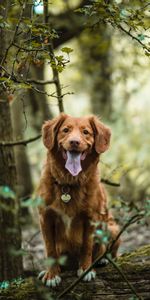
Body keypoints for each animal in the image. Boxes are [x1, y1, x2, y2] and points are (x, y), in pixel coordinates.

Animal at [37, 113, 120, 288]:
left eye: (86, 132)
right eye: (65, 130)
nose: (74, 142)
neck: (69, 184)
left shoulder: (91, 218)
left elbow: (87, 247)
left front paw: (86, 269)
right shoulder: (45, 218)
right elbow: (50, 249)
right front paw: (51, 274)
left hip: (112, 228)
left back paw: (102, 260)